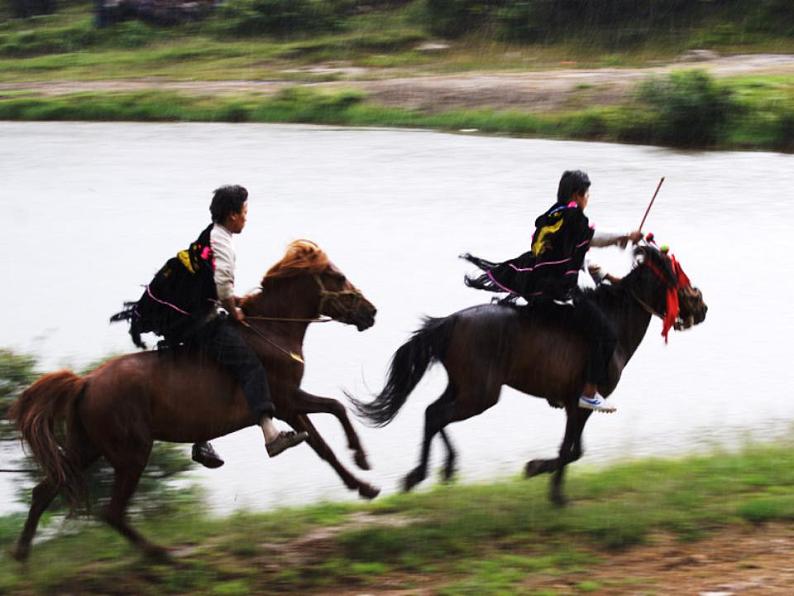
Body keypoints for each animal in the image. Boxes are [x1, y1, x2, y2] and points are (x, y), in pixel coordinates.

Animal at [8, 240, 380, 560]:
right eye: (338, 277)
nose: (371, 312)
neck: (272, 331)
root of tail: (85, 383)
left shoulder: (290, 407)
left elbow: (323, 444)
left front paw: (363, 484)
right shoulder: (287, 401)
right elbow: (334, 411)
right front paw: (362, 462)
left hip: (88, 446)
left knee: (46, 489)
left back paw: (22, 555)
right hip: (130, 453)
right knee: (111, 511)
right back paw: (160, 555)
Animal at [352, 244, 704, 506]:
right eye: (676, 276)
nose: (702, 307)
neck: (615, 321)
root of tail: (450, 322)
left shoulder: (573, 404)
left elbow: (574, 450)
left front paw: (541, 474)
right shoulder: (580, 403)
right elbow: (571, 450)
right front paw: (549, 485)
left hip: (464, 386)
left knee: (432, 412)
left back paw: (441, 468)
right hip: (480, 394)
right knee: (437, 415)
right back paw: (421, 474)